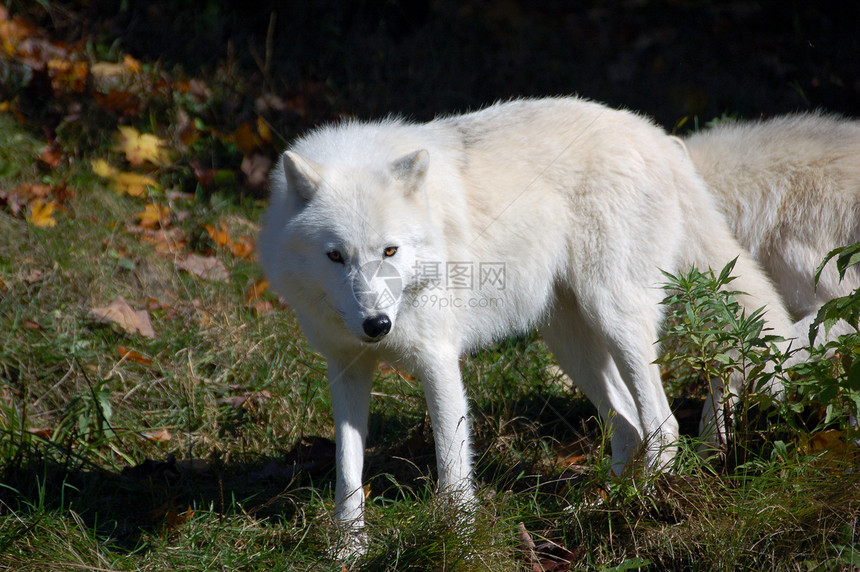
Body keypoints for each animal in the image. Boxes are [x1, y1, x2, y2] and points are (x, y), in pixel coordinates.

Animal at [256, 96, 792, 556]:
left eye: (389, 251)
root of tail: (656, 135)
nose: (377, 325)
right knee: (629, 423)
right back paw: (602, 507)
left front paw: (458, 540)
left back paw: (643, 507)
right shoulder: (346, 367)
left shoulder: (438, 361)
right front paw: (348, 549)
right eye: (335, 256)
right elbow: (348, 470)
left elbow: (452, 466)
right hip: (570, 344)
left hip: (617, 320)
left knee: (663, 427)